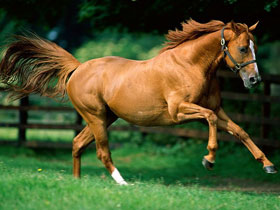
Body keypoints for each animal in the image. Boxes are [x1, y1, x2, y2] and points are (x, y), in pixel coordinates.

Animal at [0, 19, 276, 184]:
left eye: (255, 46)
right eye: (243, 48)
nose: (255, 80)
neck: (190, 65)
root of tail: (78, 68)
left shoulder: (216, 109)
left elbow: (240, 131)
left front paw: (268, 165)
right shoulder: (180, 112)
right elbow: (210, 121)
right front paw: (208, 159)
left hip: (105, 118)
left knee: (78, 143)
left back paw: (77, 182)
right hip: (96, 117)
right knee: (102, 151)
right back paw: (122, 182)